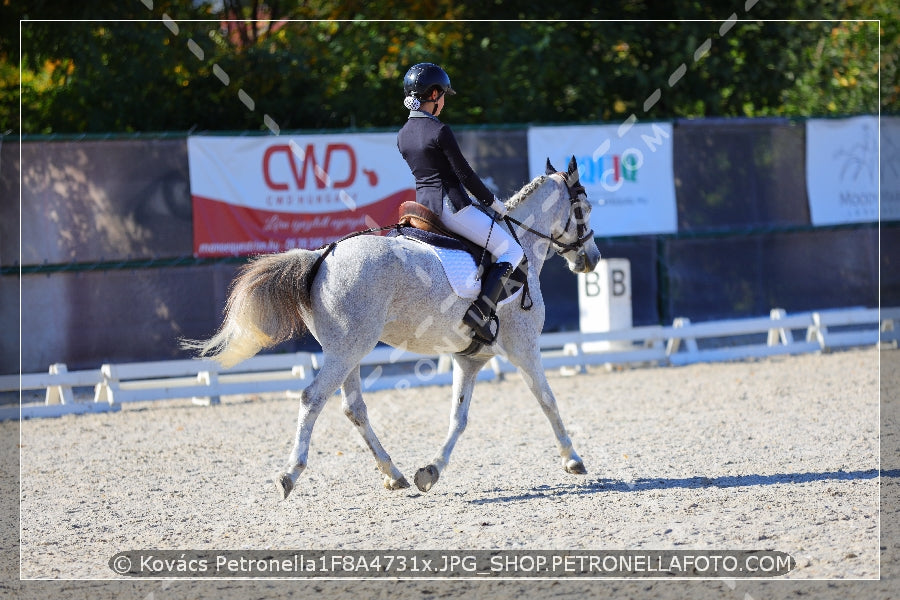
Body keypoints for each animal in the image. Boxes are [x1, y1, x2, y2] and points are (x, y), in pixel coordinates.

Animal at [184, 157, 600, 500]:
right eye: (584, 208)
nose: (591, 260)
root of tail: (321, 255)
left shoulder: (470, 360)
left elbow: (459, 419)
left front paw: (431, 472)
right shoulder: (524, 348)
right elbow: (547, 400)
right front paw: (573, 459)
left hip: (346, 350)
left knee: (354, 408)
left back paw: (393, 473)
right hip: (348, 350)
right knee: (312, 398)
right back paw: (290, 474)